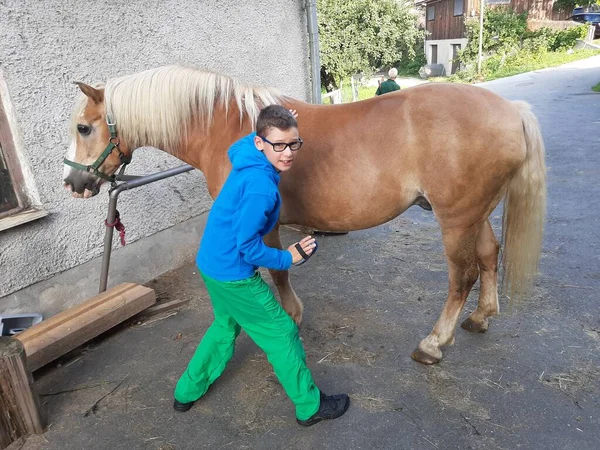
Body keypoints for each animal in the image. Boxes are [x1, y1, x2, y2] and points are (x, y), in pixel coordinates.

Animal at [63, 64, 548, 366]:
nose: (73, 184)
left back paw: (433, 343)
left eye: (84, 127)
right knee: (488, 255)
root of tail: (511, 110)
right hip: (474, 215)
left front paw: (289, 317)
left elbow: (275, 272)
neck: (230, 130)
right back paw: (481, 318)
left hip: (456, 219)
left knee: (461, 276)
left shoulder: (264, 225)